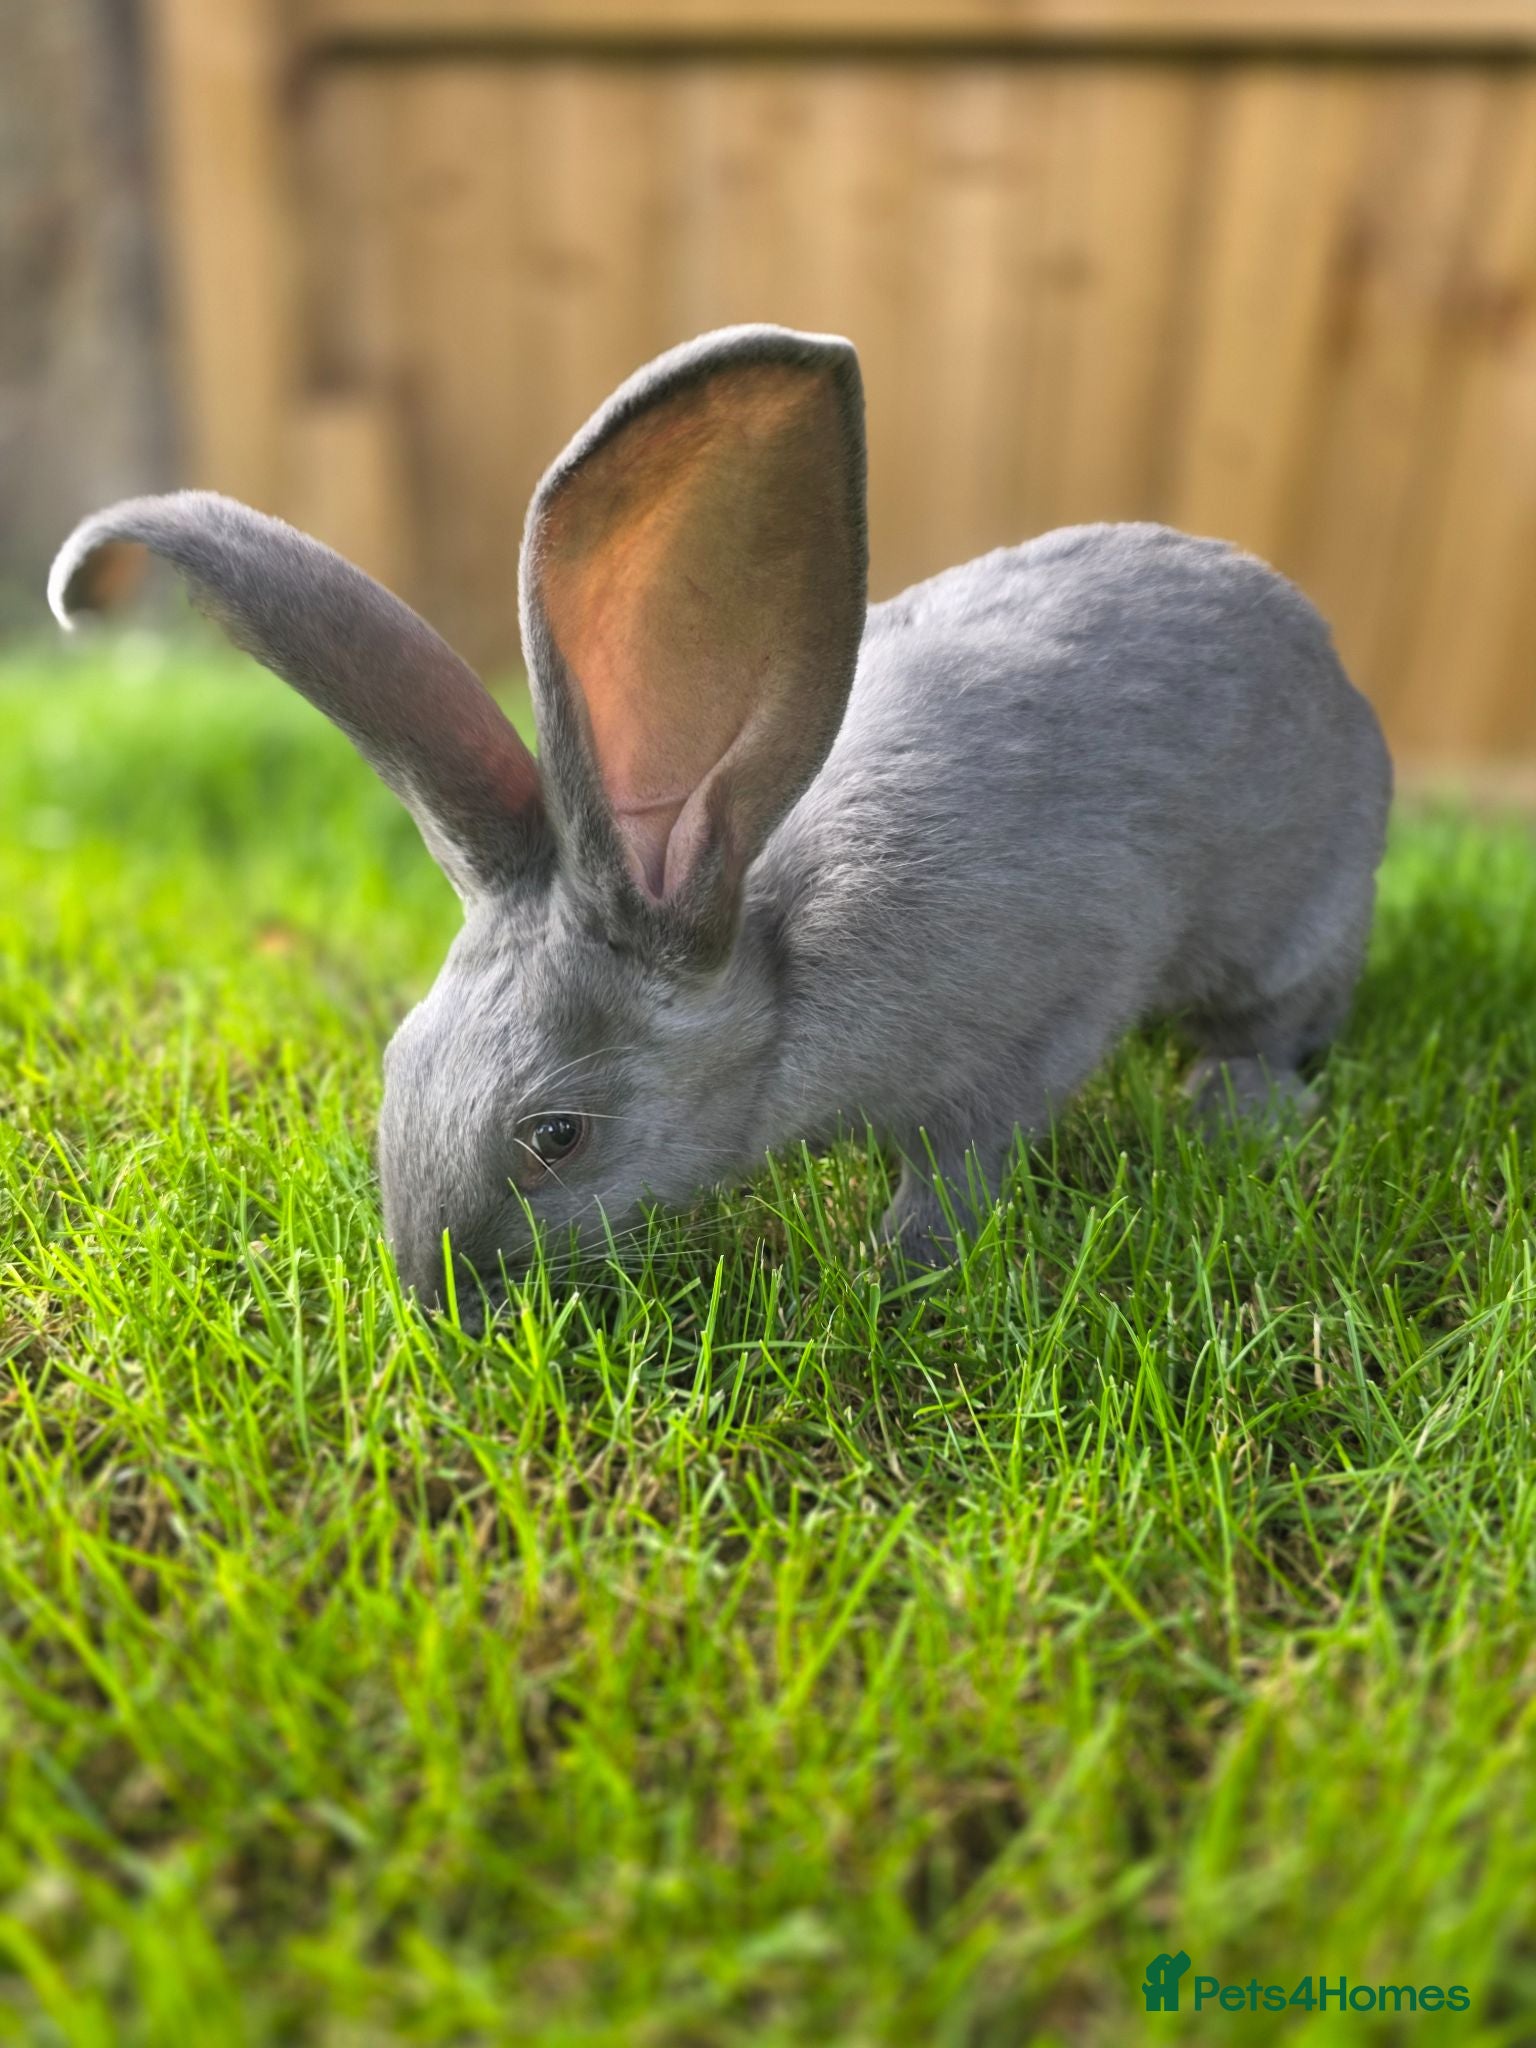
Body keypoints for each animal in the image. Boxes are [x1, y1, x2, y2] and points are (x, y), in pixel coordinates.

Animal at [49, 323, 1392, 1311]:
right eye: (396, 1063)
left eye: (557, 1136)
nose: (438, 1300)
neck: (774, 944)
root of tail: (1342, 679)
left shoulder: (1039, 1018)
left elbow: (960, 1162)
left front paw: (896, 1269)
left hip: (1299, 919)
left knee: (1286, 1018)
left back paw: (1236, 1104)